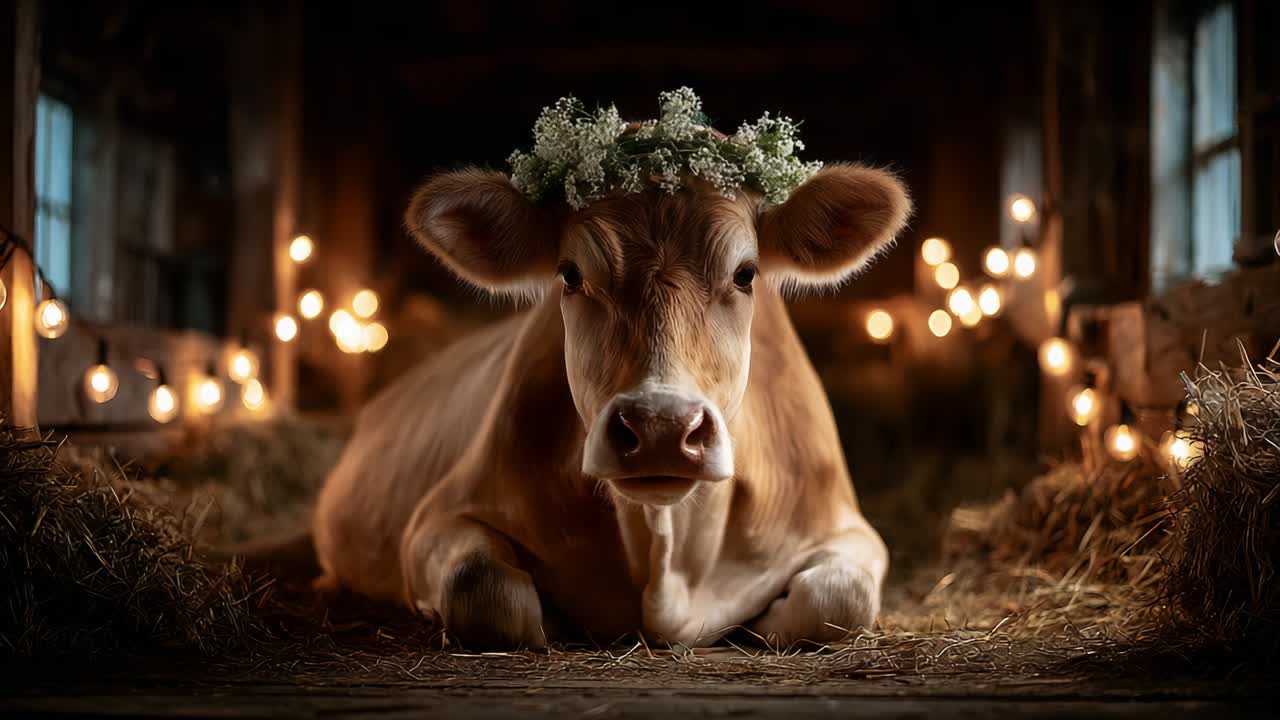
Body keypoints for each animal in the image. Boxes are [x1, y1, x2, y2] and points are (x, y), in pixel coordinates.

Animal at [310, 152, 911, 650]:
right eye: (570, 274)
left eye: (745, 274)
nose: (661, 428)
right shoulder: (434, 521)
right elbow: (479, 586)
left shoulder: (848, 528)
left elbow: (841, 598)